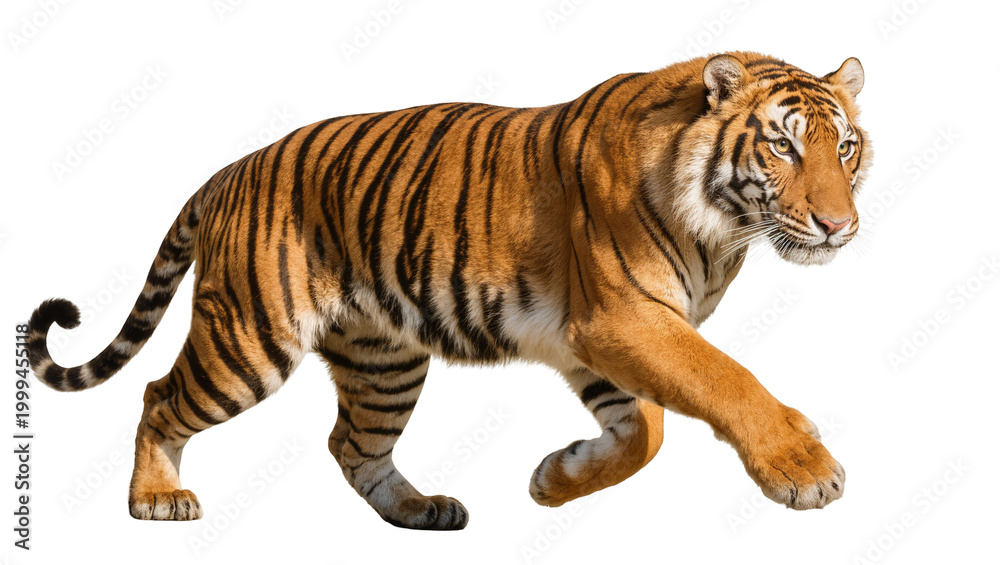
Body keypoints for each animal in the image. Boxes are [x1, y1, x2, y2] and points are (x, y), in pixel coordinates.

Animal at [28, 51, 870, 529]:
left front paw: (555, 481)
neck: (724, 230)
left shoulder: (596, 340)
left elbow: (647, 431)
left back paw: (419, 509)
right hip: (249, 338)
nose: (838, 225)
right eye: (783, 144)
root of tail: (229, 170)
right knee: (160, 395)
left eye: (847, 147)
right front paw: (806, 470)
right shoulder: (623, 317)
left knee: (351, 441)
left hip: (384, 360)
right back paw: (155, 498)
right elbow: (726, 381)